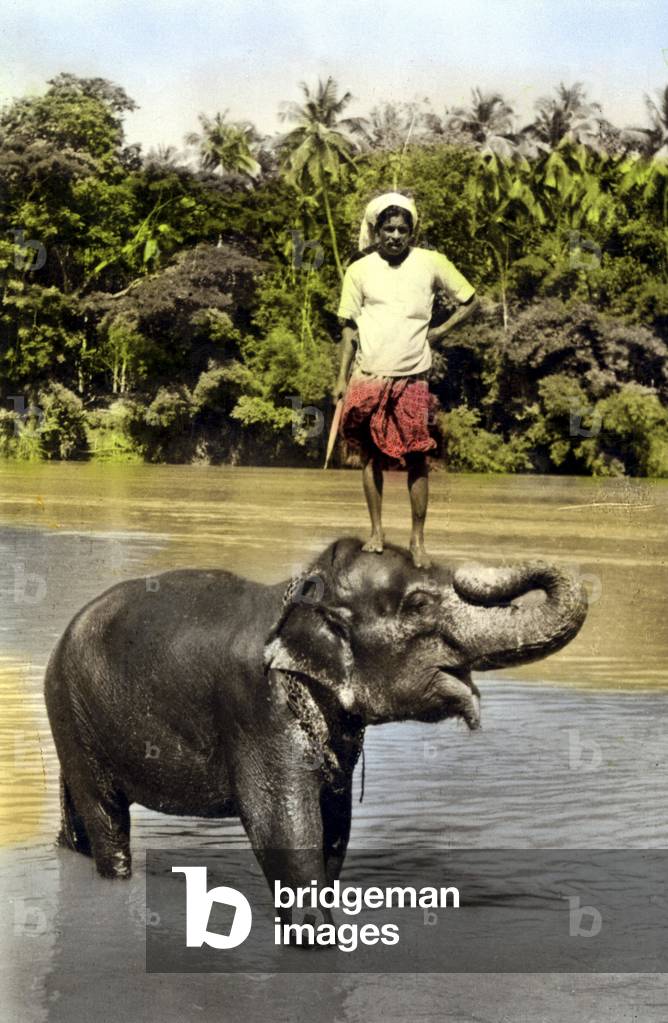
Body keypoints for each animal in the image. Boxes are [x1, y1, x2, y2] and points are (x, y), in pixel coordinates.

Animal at [44, 537, 587, 904]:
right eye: (418, 604)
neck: (300, 594)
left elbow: (335, 824)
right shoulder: (256, 709)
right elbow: (283, 831)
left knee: (79, 818)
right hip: (71, 711)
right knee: (107, 820)